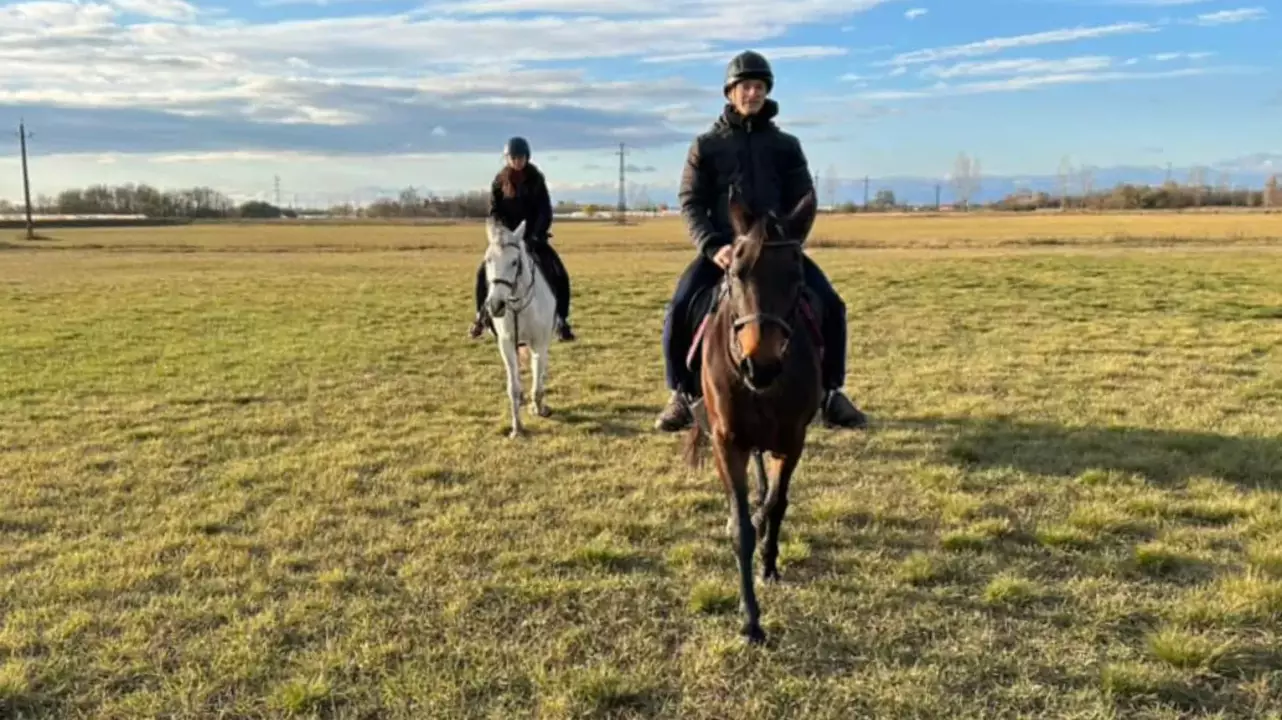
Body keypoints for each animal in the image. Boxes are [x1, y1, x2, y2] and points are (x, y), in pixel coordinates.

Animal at [482, 213, 556, 438]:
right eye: (488, 260)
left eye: (515, 262)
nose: (496, 305)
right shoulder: (506, 343)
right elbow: (513, 387)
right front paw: (517, 428)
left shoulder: (539, 342)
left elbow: (538, 375)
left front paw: (539, 408)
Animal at [687, 185, 825, 645]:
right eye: (736, 271)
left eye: (796, 276)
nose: (759, 366)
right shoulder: (727, 443)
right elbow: (741, 526)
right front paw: (750, 619)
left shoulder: (792, 441)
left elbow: (776, 505)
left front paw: (769, 563)